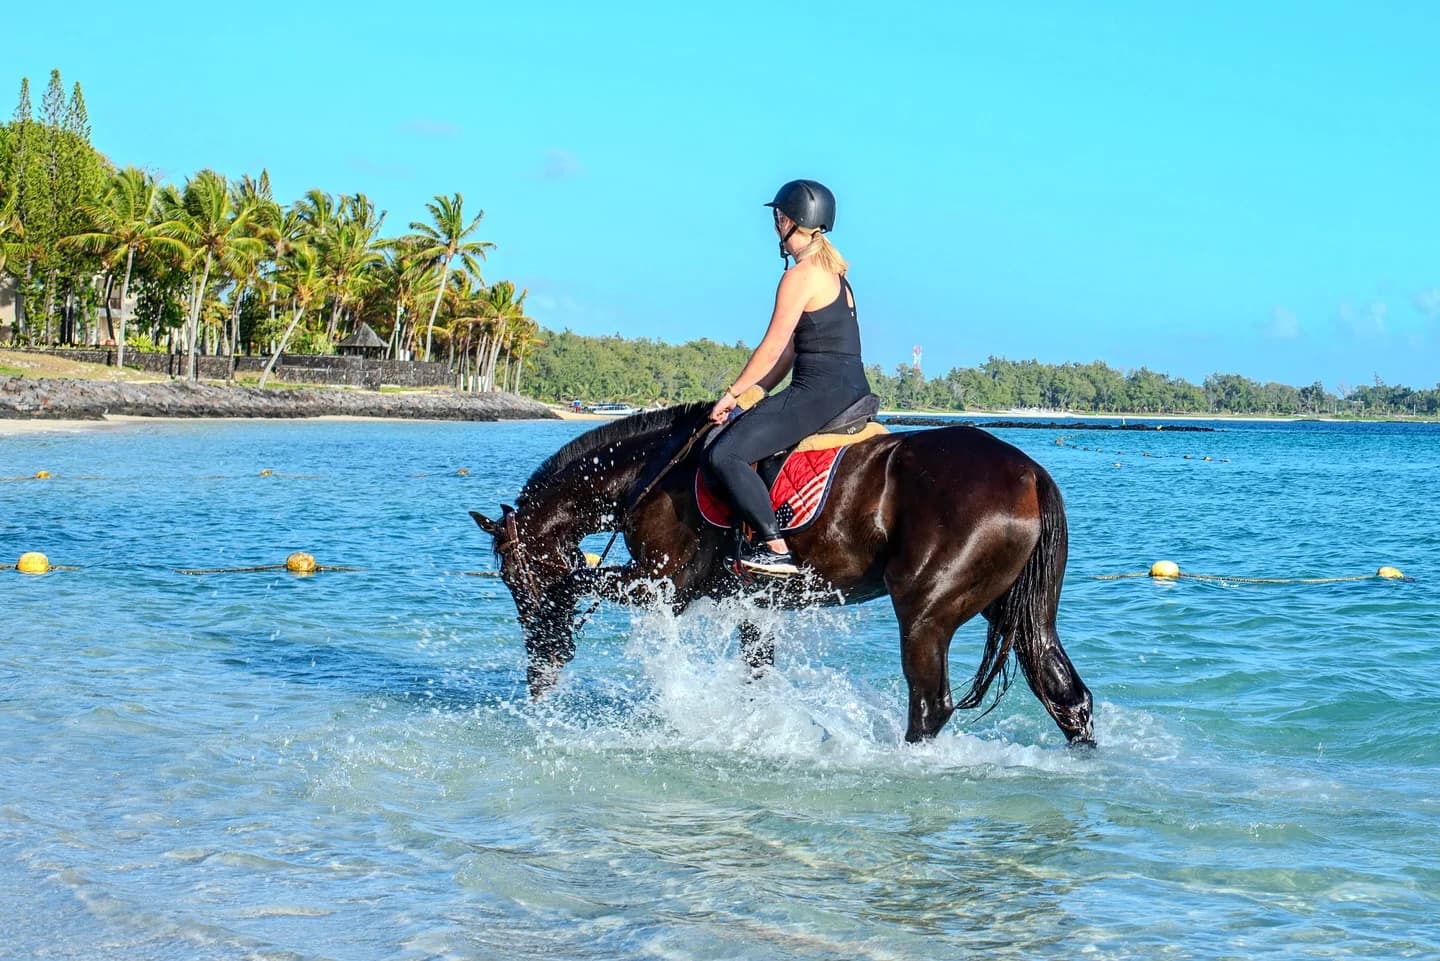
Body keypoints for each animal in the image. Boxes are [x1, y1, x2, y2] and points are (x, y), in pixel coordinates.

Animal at [470, 402, 1095, 746]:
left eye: (515, 580)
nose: (540, 670)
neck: (652, 473)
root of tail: (1030, 474)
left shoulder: (665, 585)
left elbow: (578, 580)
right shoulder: (753, 604)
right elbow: (756, 676)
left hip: (926, 613)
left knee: (930, 706)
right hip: (1017, 612)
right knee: (1065, 694)